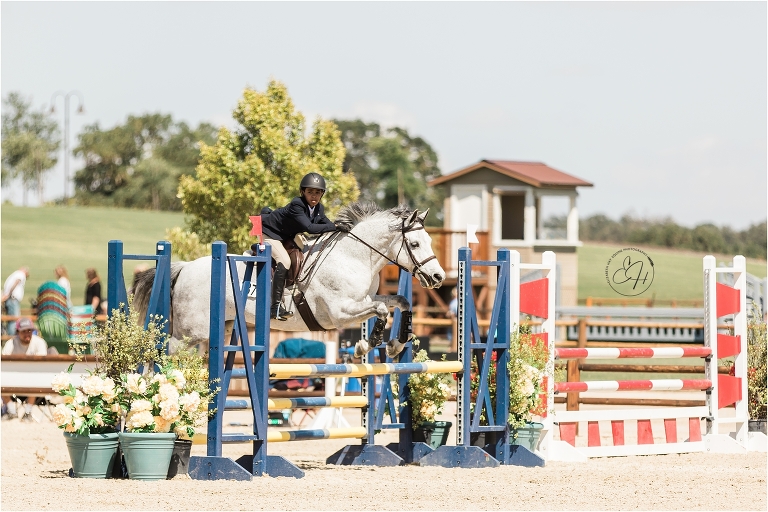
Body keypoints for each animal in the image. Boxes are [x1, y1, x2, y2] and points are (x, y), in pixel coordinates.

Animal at [132, 202, 446, 358]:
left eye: (431, 241)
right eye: (415, 244)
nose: (438, 277)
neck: (354, 257)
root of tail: (184, 268)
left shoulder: (363, 300)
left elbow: (400, 301)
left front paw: (396, 345)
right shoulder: (340, 312)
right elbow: (381, 311)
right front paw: (365, 346)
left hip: (221, 327)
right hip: (187, 334)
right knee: (161, 355)